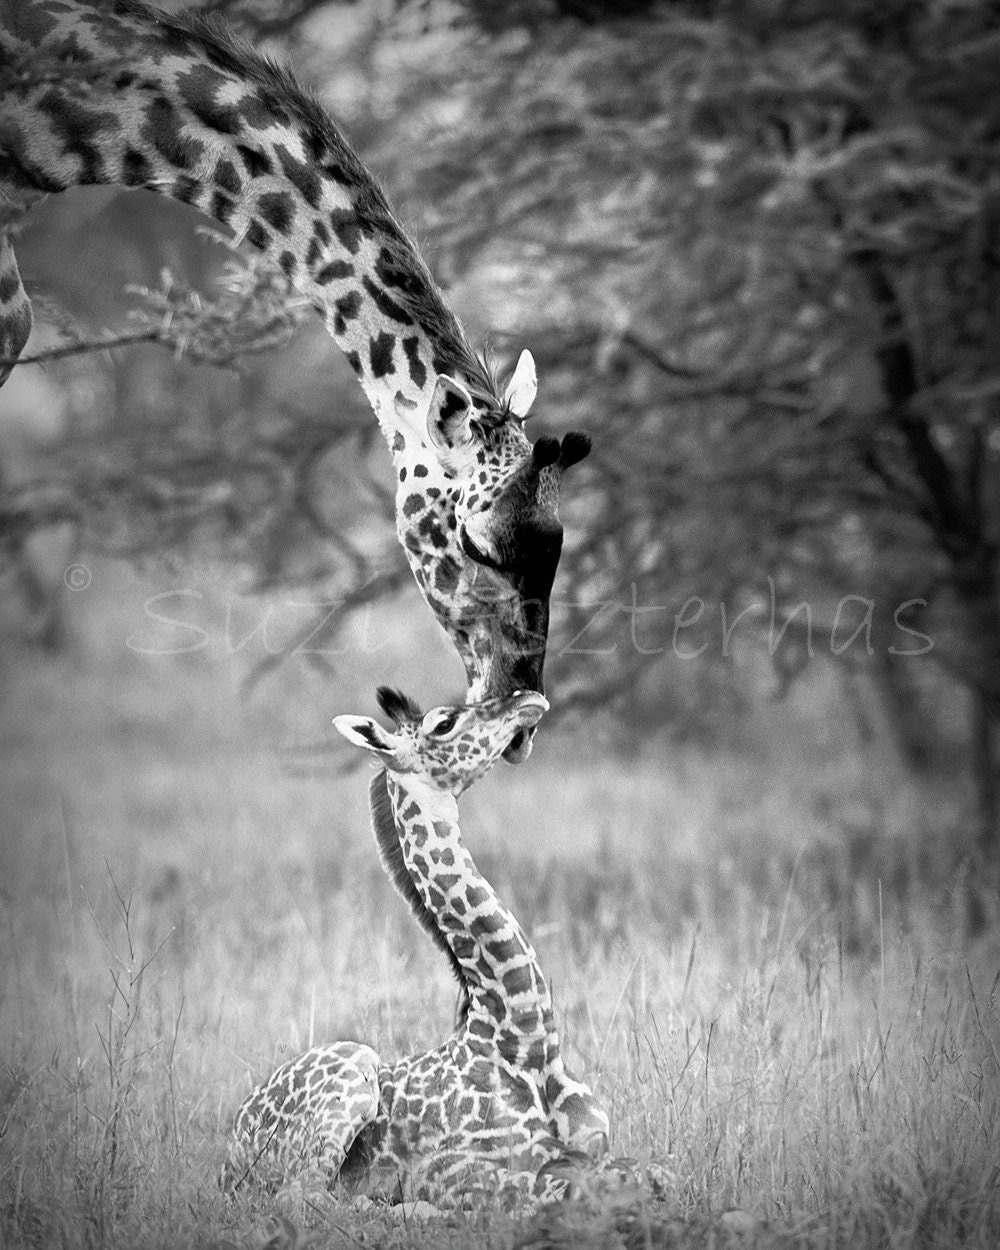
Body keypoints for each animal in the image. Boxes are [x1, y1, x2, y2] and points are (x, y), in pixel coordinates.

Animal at [222, 686, 609, 1206]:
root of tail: (231, 1150)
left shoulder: (598, 1144)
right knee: (306, 1196)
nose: (528, 698)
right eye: (443, 723)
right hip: (353, 1065)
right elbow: (555, 1188)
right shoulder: (455, 1171)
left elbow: (652, 1173)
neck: (526, 1044)